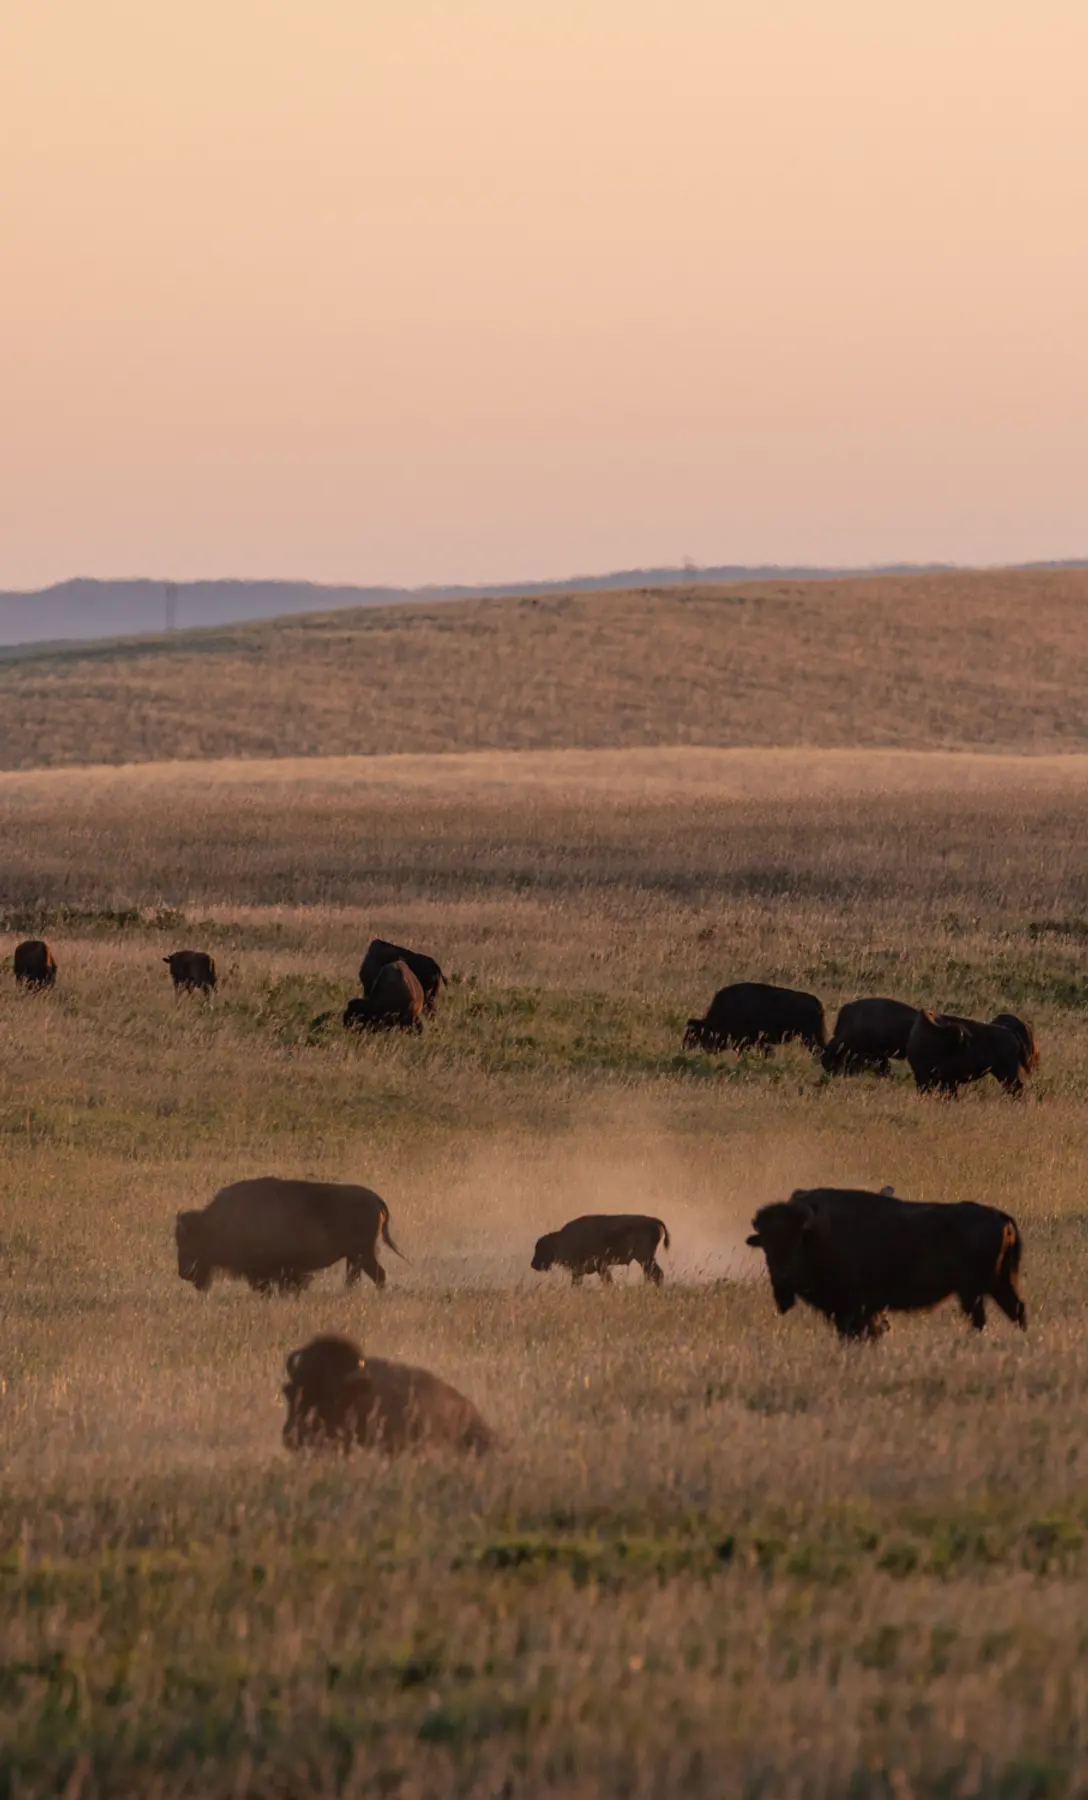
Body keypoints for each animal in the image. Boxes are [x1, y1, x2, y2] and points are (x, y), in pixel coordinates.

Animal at [175, 1176, 405, 1294]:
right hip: (356, 1255)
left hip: (362, 1253)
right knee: (358, 1276)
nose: (184, 1273)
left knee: (377, 1274)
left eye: (190, 1241)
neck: (215, 1223)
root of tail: (376, 1199)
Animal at [531, 1214, 670, 1287]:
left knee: (656, 1274)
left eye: (540, 1248)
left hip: (645, 1259)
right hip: (646, 1260)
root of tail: (654, 1220)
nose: (533, 1264)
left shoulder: (595, 1266)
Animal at [746, 1185, 1026, 1340]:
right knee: (1016, 1310)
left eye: (795, 1242)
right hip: (997, 1286)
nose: (782, 1281)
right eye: (766, 1247)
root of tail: (1002, 1219)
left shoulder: (854, 1308)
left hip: (972, 1292)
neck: (816, 1234)